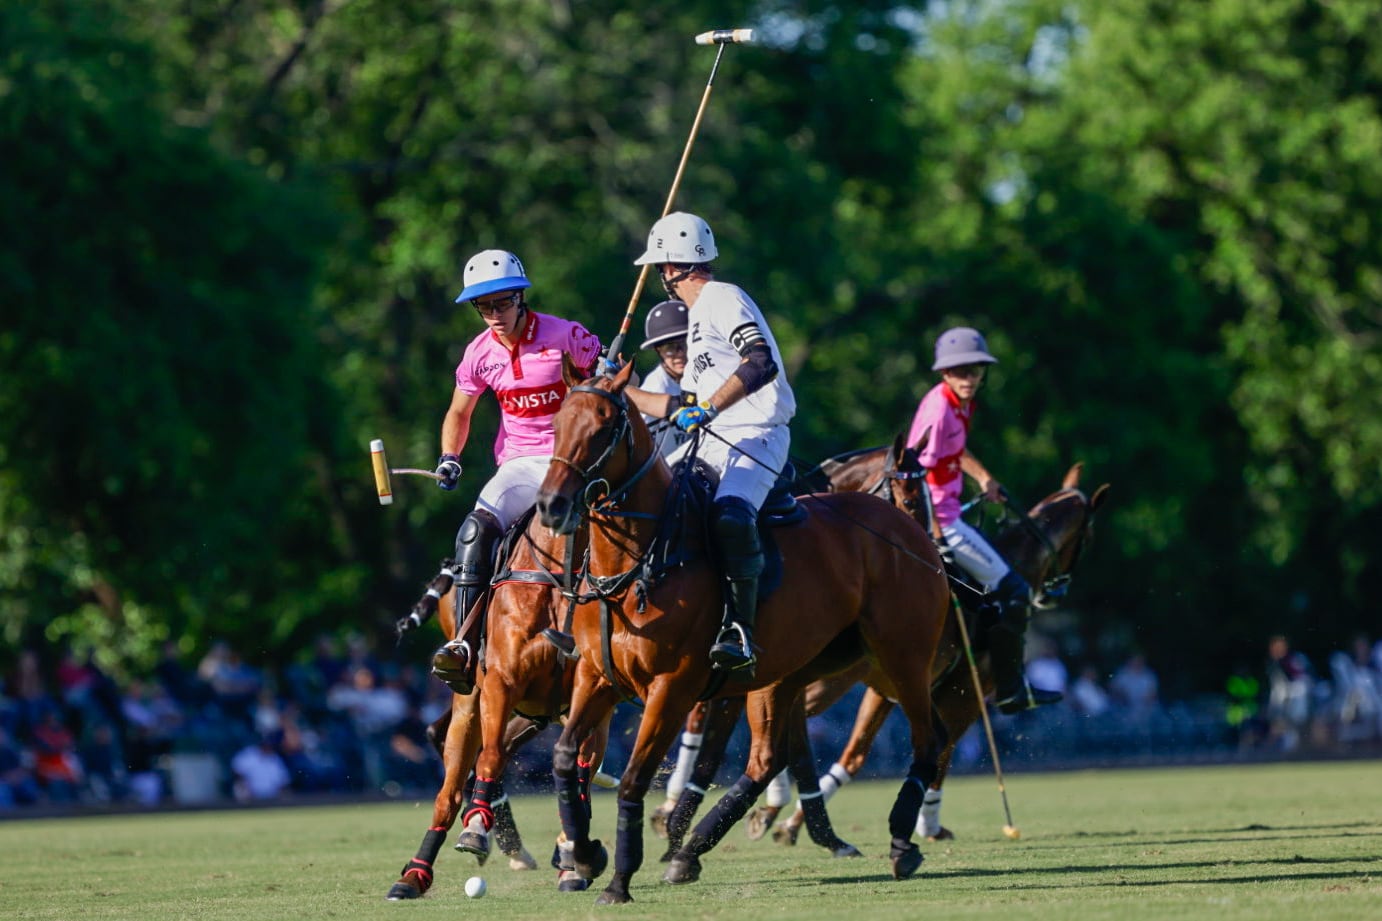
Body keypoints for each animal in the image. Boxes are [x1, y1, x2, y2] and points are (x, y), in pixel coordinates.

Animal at [386, 508, 608, 896]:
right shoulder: (500, 684)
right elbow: (489, 756)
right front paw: (476, 829)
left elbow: (579, 775)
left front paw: (573, 858)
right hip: (474, 699)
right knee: (452, 776)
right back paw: (417, 872)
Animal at [527, 359, 950, 901]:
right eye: (557, 424)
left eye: (603, 429)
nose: (551, 506)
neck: (642, 558)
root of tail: (909, 536)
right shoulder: (596, 678)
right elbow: (564, 757)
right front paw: (584, 853)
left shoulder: (673, 687)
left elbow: (635, 778)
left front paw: (619, 879)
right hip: (790, 672)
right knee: (767, 758)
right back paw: (689, 854)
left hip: (902, 657)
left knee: (928, 737)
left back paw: (900, 841)